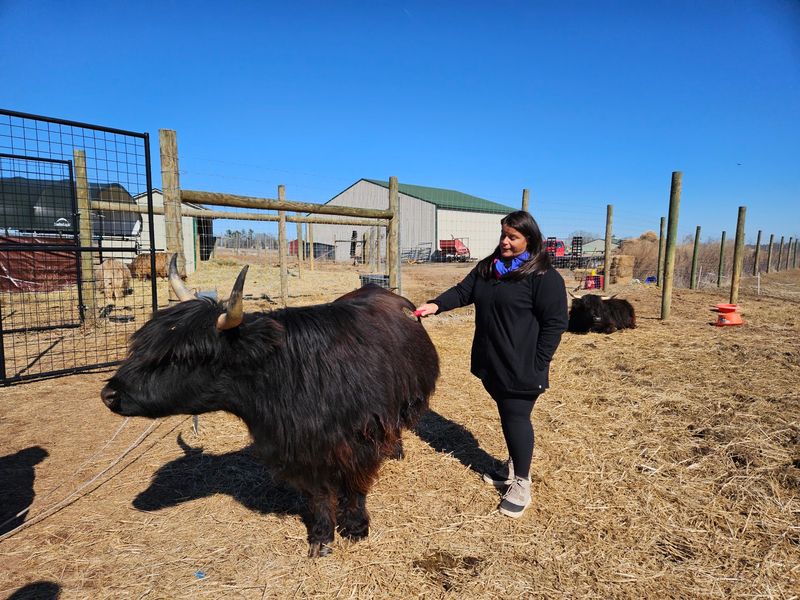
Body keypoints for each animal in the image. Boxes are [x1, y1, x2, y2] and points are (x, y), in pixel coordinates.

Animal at [100, 255, 439, 557]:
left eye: (181, 356)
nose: (109, 394)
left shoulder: (361, 439)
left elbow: (355, 486)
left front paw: (356, 527)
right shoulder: (302, 451)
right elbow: (319, 495)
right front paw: (321, 537)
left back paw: (395, 450)